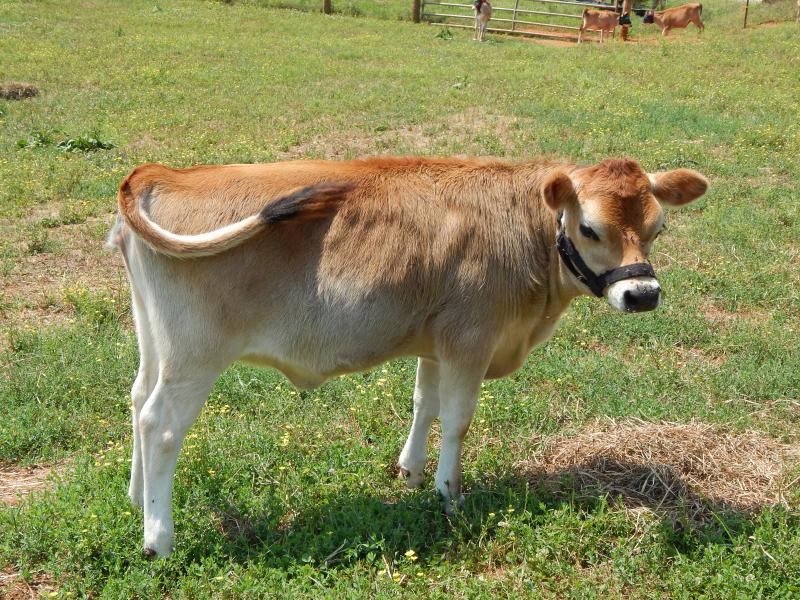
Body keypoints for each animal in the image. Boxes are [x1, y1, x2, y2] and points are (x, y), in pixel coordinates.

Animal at [108, 156, 709, 556]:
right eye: (589, 227)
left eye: (658, 226)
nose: (643, 294)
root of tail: (162, 173)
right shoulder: (471, 338)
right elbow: (458, 420)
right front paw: (449, 495)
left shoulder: (436, 340)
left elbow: (425, 402)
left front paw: (411, 472)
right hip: (195, 356)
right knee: (161, 425)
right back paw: (158, 537)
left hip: (155, 340)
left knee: (137, 400)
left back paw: (137, 499)